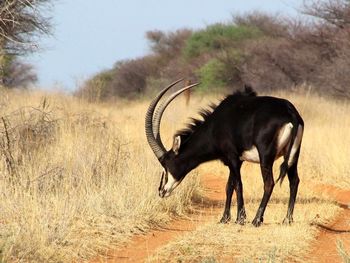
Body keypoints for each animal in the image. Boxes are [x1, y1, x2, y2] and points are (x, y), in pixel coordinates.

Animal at [145, 79, 304, 227]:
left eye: (166, 164)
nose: (161, 191)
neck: (215, 126)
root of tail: (290, 112)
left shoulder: (232, 157)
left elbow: (238, 185)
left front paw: (240, 219)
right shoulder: (236, 161)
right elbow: (229, 186)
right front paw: (224, 218)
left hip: (266, 157)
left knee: (269, 183)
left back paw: (257, 220)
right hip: (292, 156)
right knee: (294, 181)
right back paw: (287, 219)